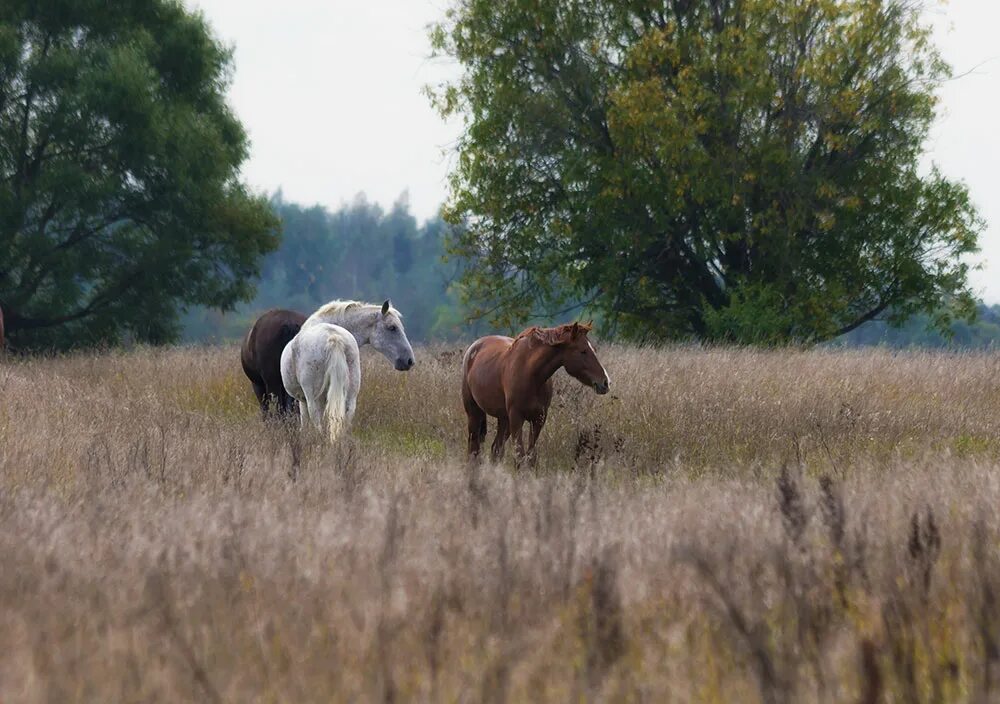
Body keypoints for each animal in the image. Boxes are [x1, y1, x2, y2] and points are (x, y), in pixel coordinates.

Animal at [280, 300, 412, 442]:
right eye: (392, 327)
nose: (409, 360)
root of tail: (333, 337)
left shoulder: (303, 400)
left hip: (314, 400)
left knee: (318, 423)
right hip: (350, 398)